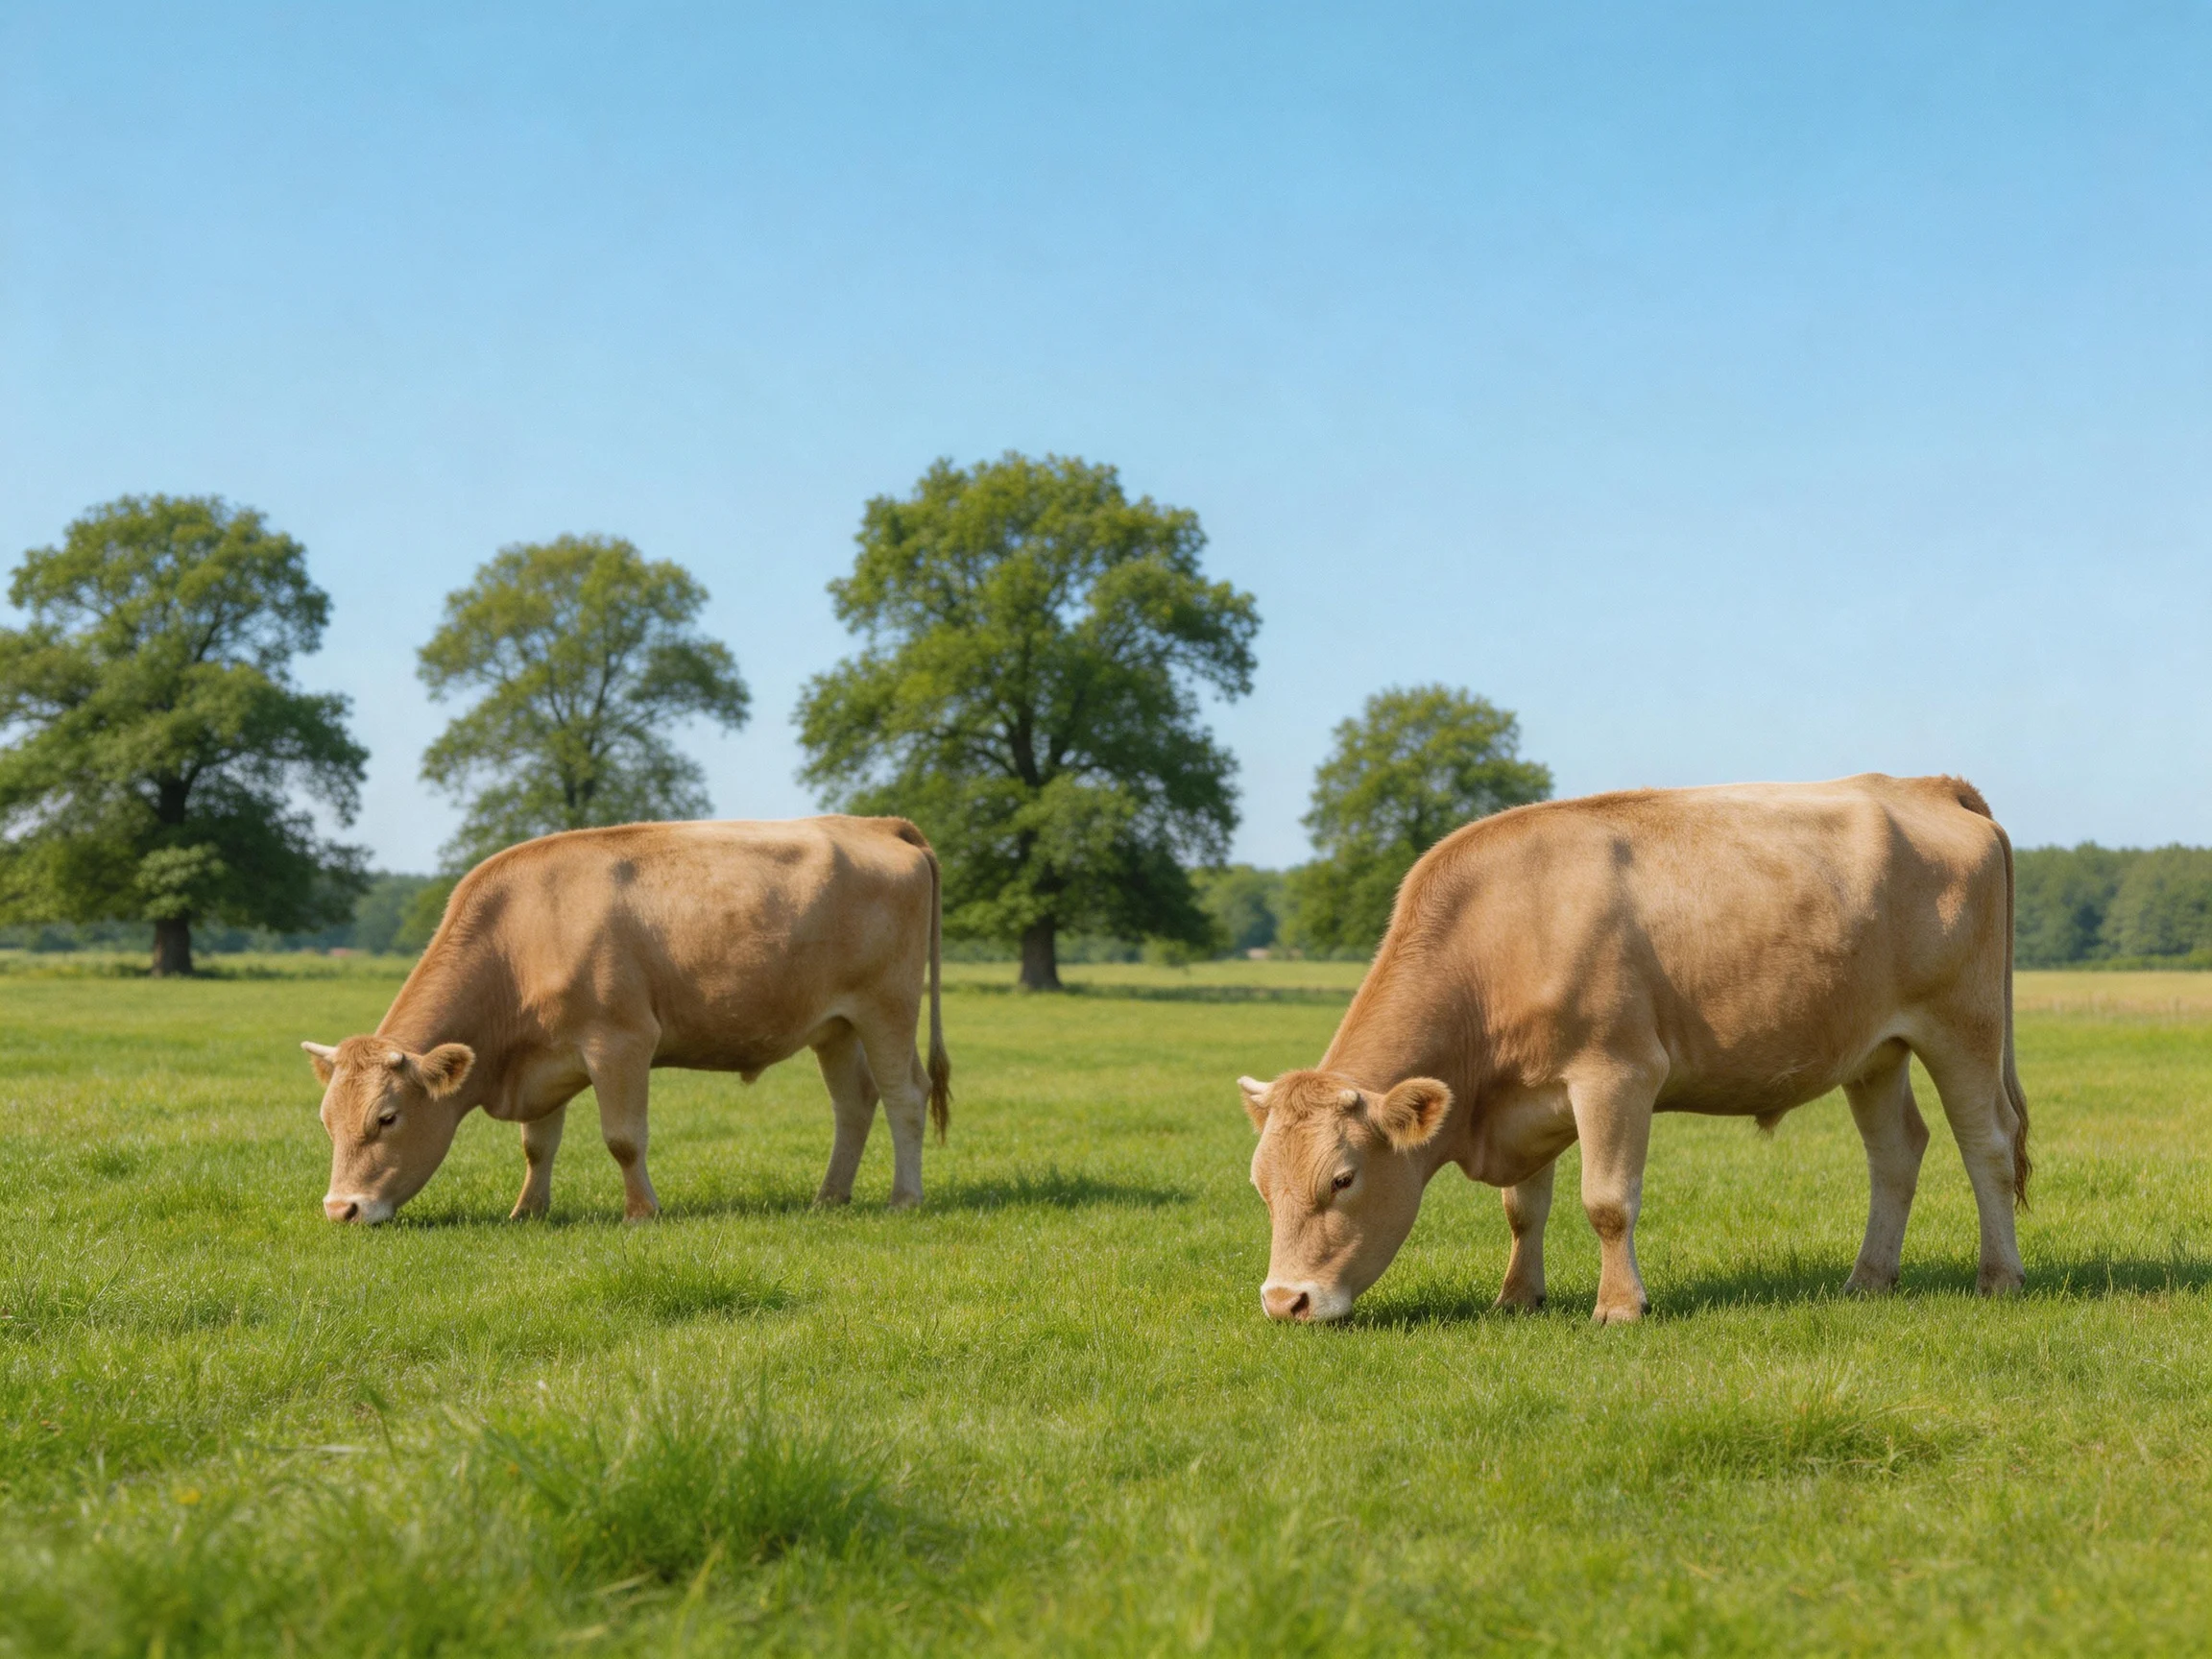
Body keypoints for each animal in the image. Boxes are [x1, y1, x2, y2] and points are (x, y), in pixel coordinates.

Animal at [303, 815, 950, 1224]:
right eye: (327, 1122)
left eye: (387, 1118)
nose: (341, 1210)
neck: (521, 937)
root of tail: (875, 823)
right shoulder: (542, 1060)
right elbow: (537, 1146)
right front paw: (526, 1211)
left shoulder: (620, 1043)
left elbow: (622, 1138)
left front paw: (642, 1213)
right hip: (835, 1026)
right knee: (854, 1102)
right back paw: (829, 1198)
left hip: (888, 1007)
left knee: (905, 1095)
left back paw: (904, 1198)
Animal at [1238, 774, 2029, 1324]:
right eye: (1259, 1185)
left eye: (1343, 1179)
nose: (1285, 1302)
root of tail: (1925, 784)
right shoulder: (1530, 1097)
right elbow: (1524, 1208)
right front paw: (1517, 1296)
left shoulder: (1616, 1075)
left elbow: (1607, 1201)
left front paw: (1619, 1305)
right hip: (1875, 1049)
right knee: (1896, 1151)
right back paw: (1867, 1280)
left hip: (1963, 1024)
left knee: (1985, 1143)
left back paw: (1999, 1278)